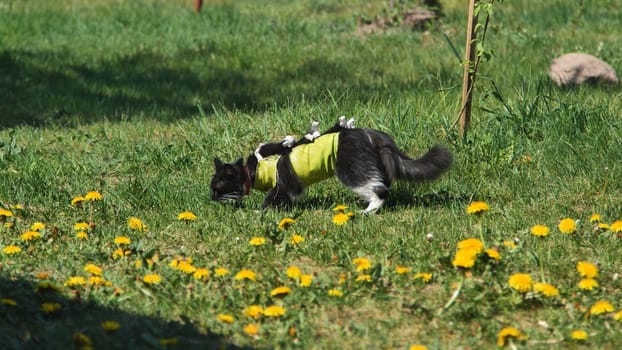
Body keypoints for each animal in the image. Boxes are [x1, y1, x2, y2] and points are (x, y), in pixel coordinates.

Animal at [211, 117, 454, 213]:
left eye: (217, 187)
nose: (210, 198)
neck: (255, 170)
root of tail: (372, 135)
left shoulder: (284, 183)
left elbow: (271, 198)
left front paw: (260, 212)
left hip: (349, 170)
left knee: (380, 189)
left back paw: (368, 210)